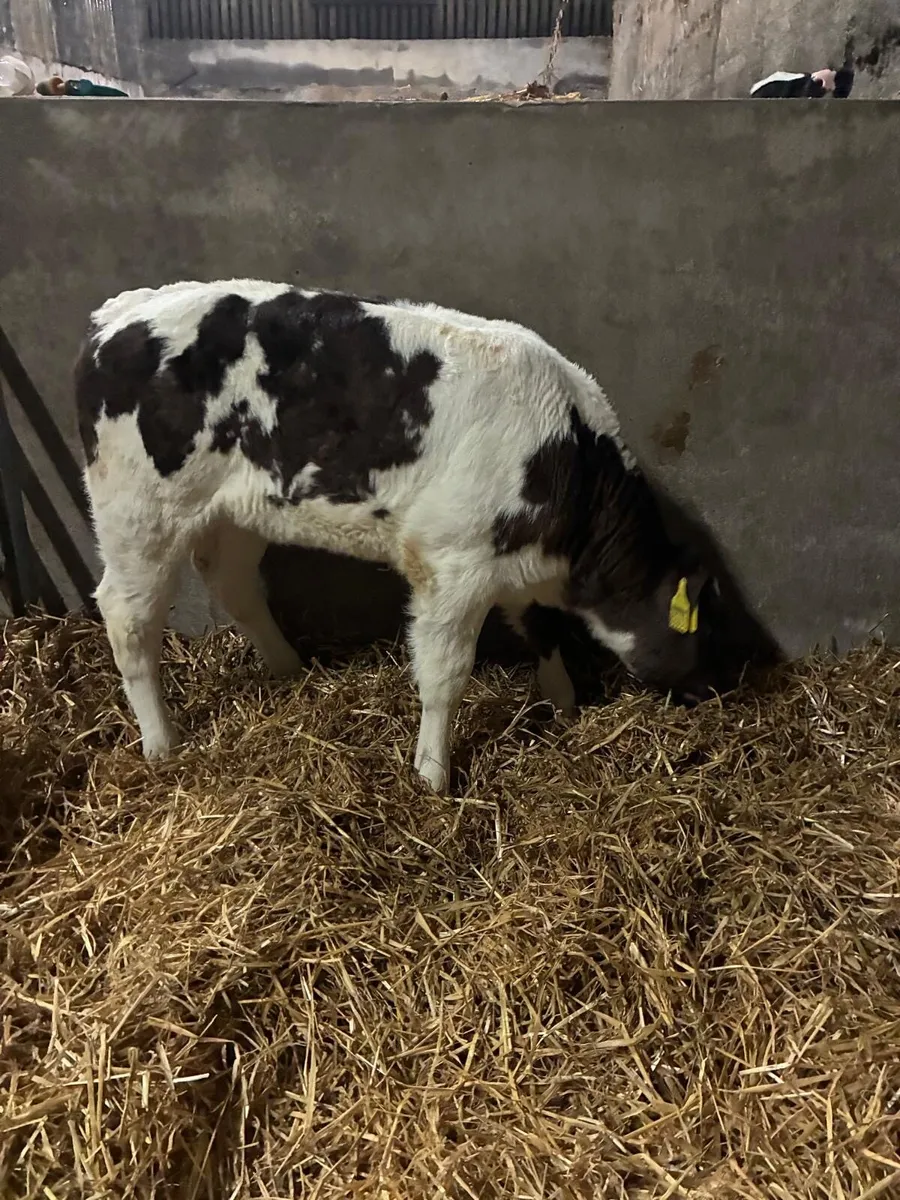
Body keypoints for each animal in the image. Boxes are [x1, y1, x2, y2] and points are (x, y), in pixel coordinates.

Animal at [75, 280, 720, 792]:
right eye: (697, 625)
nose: (709, 689)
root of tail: (119, 314)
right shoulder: (451, 566)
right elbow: (446, 677)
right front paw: (432, 775)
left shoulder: (510, 561)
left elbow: (541, 628)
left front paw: (562, 702)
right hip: (138, 512)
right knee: (127, 616)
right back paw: (162, 745)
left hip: (234, 512)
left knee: (233, 586)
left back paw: (288, 669)